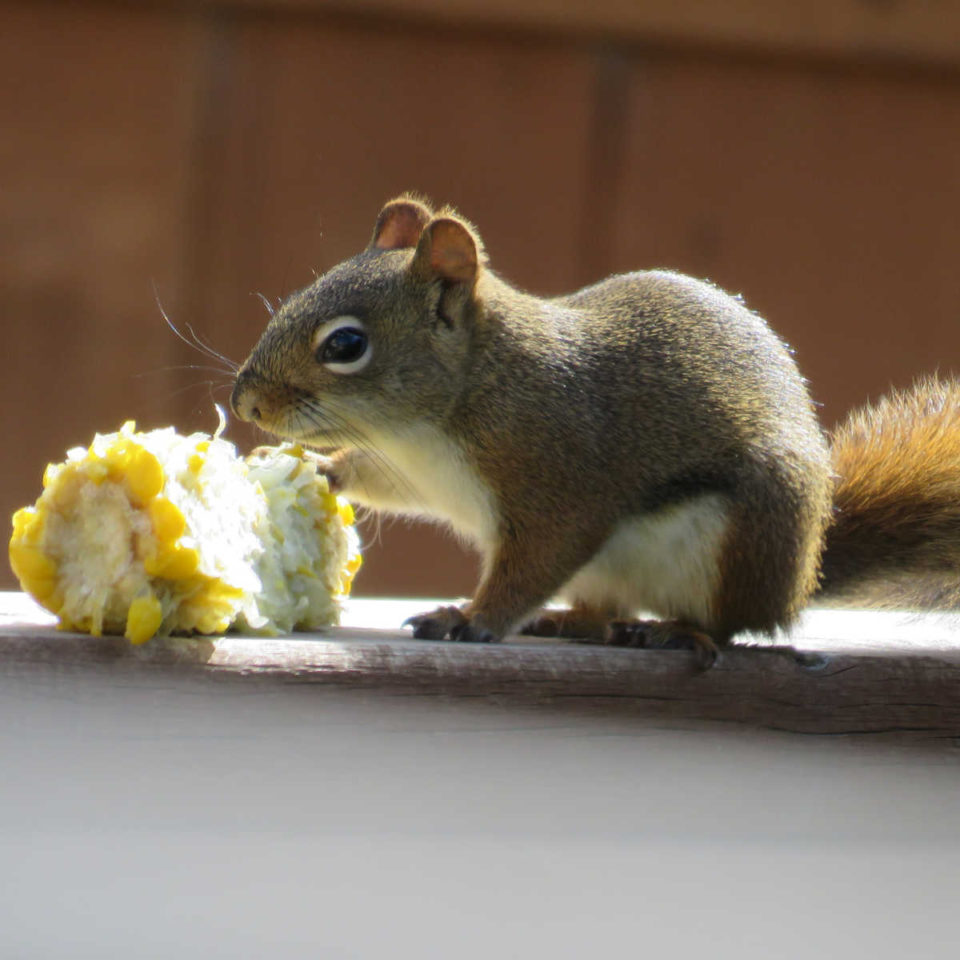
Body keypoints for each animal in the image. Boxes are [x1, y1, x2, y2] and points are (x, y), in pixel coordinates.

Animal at [231, 194, 960, 665]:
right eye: (293, 300)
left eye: (346, 344)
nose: (246, 405)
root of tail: (802, 576)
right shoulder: (417, 475)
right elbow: (379, 482)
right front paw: (322, 468)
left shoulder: (557, 484)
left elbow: (531, 565)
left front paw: (470, 618)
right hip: (610, 574)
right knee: (606, 613)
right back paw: (570, 623)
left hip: (739, 541)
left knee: (732, 626)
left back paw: (679, 634)